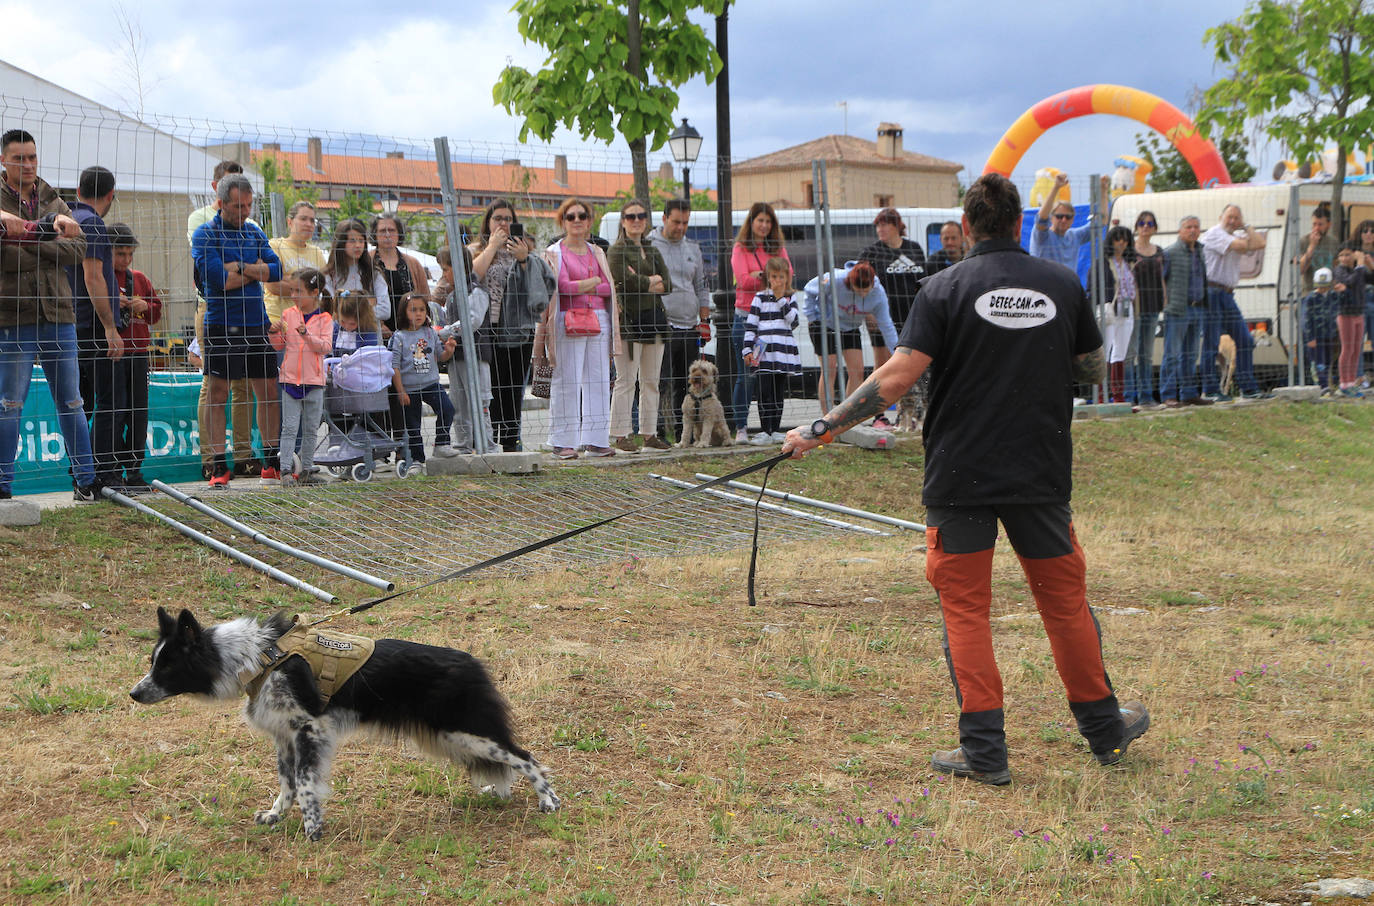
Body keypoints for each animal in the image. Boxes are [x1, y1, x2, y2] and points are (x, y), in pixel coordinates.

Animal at [129, 610, 557, 841]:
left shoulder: (310, 730)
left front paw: (312, 830)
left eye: (166, 667)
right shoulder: (284, 737)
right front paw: (276, 816)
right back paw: (499, 793)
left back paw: (548, 801)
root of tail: (472, 663)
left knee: (526, 757)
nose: (133, 694)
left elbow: (305, 785)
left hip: (465, 733)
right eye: (153, 662)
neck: (258, 658)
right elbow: (286, 784)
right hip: (452, 738)